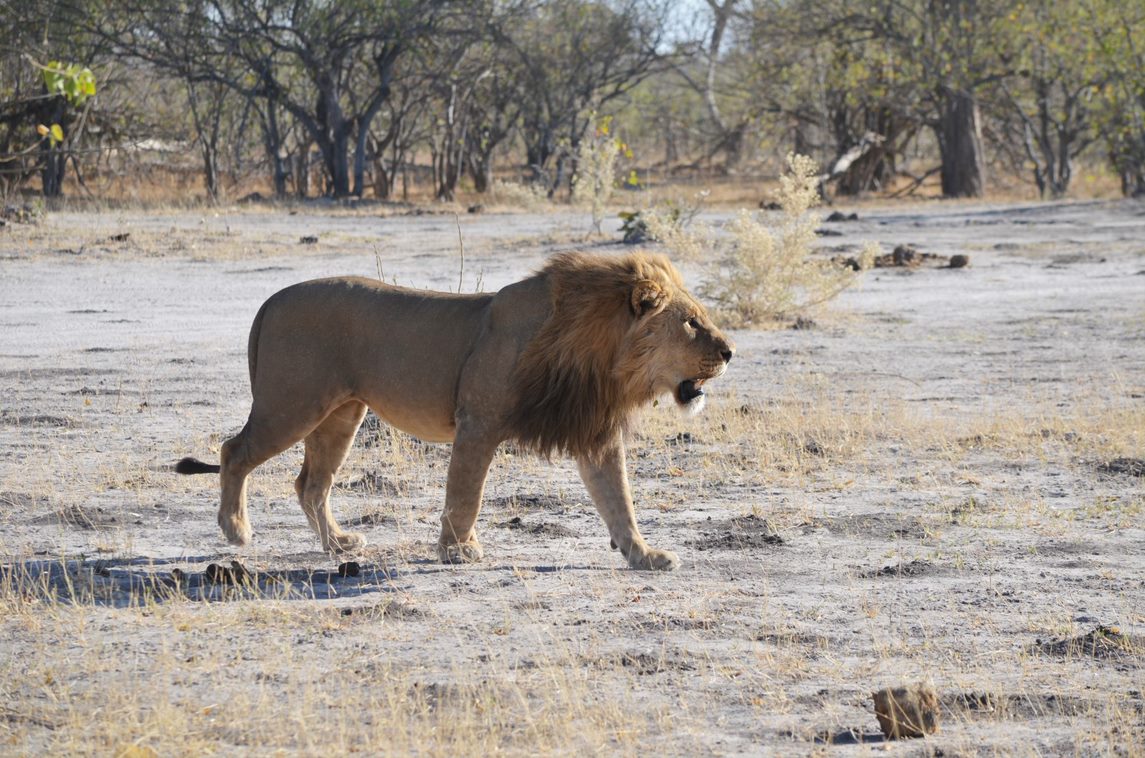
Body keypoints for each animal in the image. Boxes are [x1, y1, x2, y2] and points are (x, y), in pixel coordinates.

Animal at [175, 251, 737, 572]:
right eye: (691, 323)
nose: (731, 352)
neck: (600, 355)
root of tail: (271, 299)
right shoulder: (478, 423)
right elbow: (466, 494)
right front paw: (457, 550)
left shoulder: (594, 435)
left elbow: (619, 500)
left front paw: (644, 555)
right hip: (292, 404)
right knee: (233, 451)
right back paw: (236, 528)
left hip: (342, 415)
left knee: (310, 483)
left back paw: (338, 545)